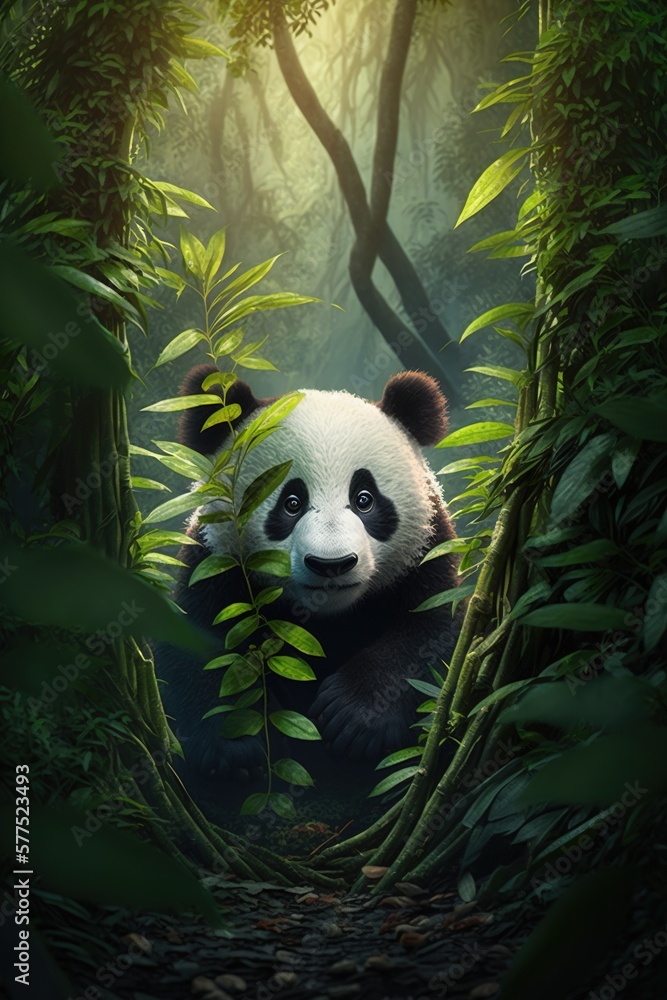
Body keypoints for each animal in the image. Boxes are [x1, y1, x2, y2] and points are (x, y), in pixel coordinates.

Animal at [156, 364, 462, 781]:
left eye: (364, 499)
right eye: (291, 503)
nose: (332, 564)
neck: (324, 619)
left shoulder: (426, 554)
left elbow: (434, 634)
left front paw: (352, 716)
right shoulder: (213, 562)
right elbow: (195, 645)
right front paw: (236, 746)